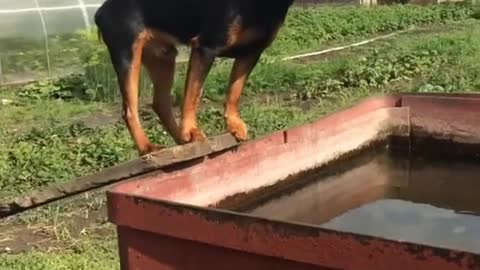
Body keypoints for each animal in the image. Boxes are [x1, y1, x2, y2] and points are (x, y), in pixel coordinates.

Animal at [94, 0, 294, 156]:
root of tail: (101, 11)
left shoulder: (251, 53)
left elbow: (235, 90)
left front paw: (234, 124)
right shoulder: (205, 47)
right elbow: (193, 94)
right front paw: (191, 131)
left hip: (163, 57)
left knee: (160, 103)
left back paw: (180, 140)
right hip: (128, 53)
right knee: (129, 110)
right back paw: (147, 147)